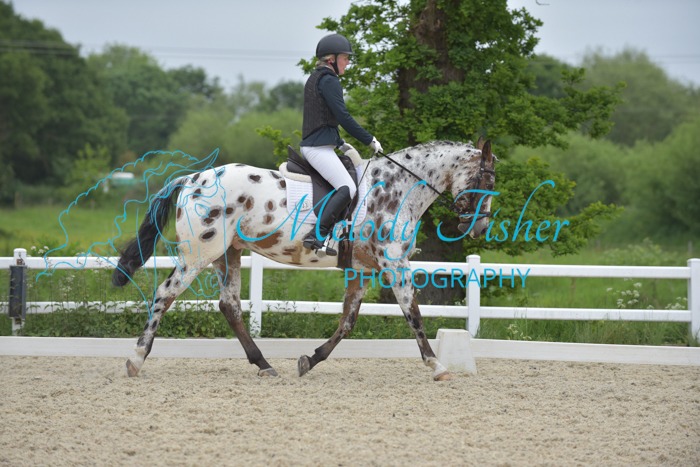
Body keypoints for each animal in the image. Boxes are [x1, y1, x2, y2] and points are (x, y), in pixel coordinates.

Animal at [112, 139, 496, 380]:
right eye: (487, 181)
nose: (479, 227)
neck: (397, 186)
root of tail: (192, 177)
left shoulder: (362, 271)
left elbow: (347, 322)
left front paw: (309, 361)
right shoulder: (395, 265)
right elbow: (412, 313)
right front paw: (437, 366)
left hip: (227, 253)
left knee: (229, 305)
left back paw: (264, 364)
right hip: (199, 254)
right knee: (165, 294)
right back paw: (135, 360)